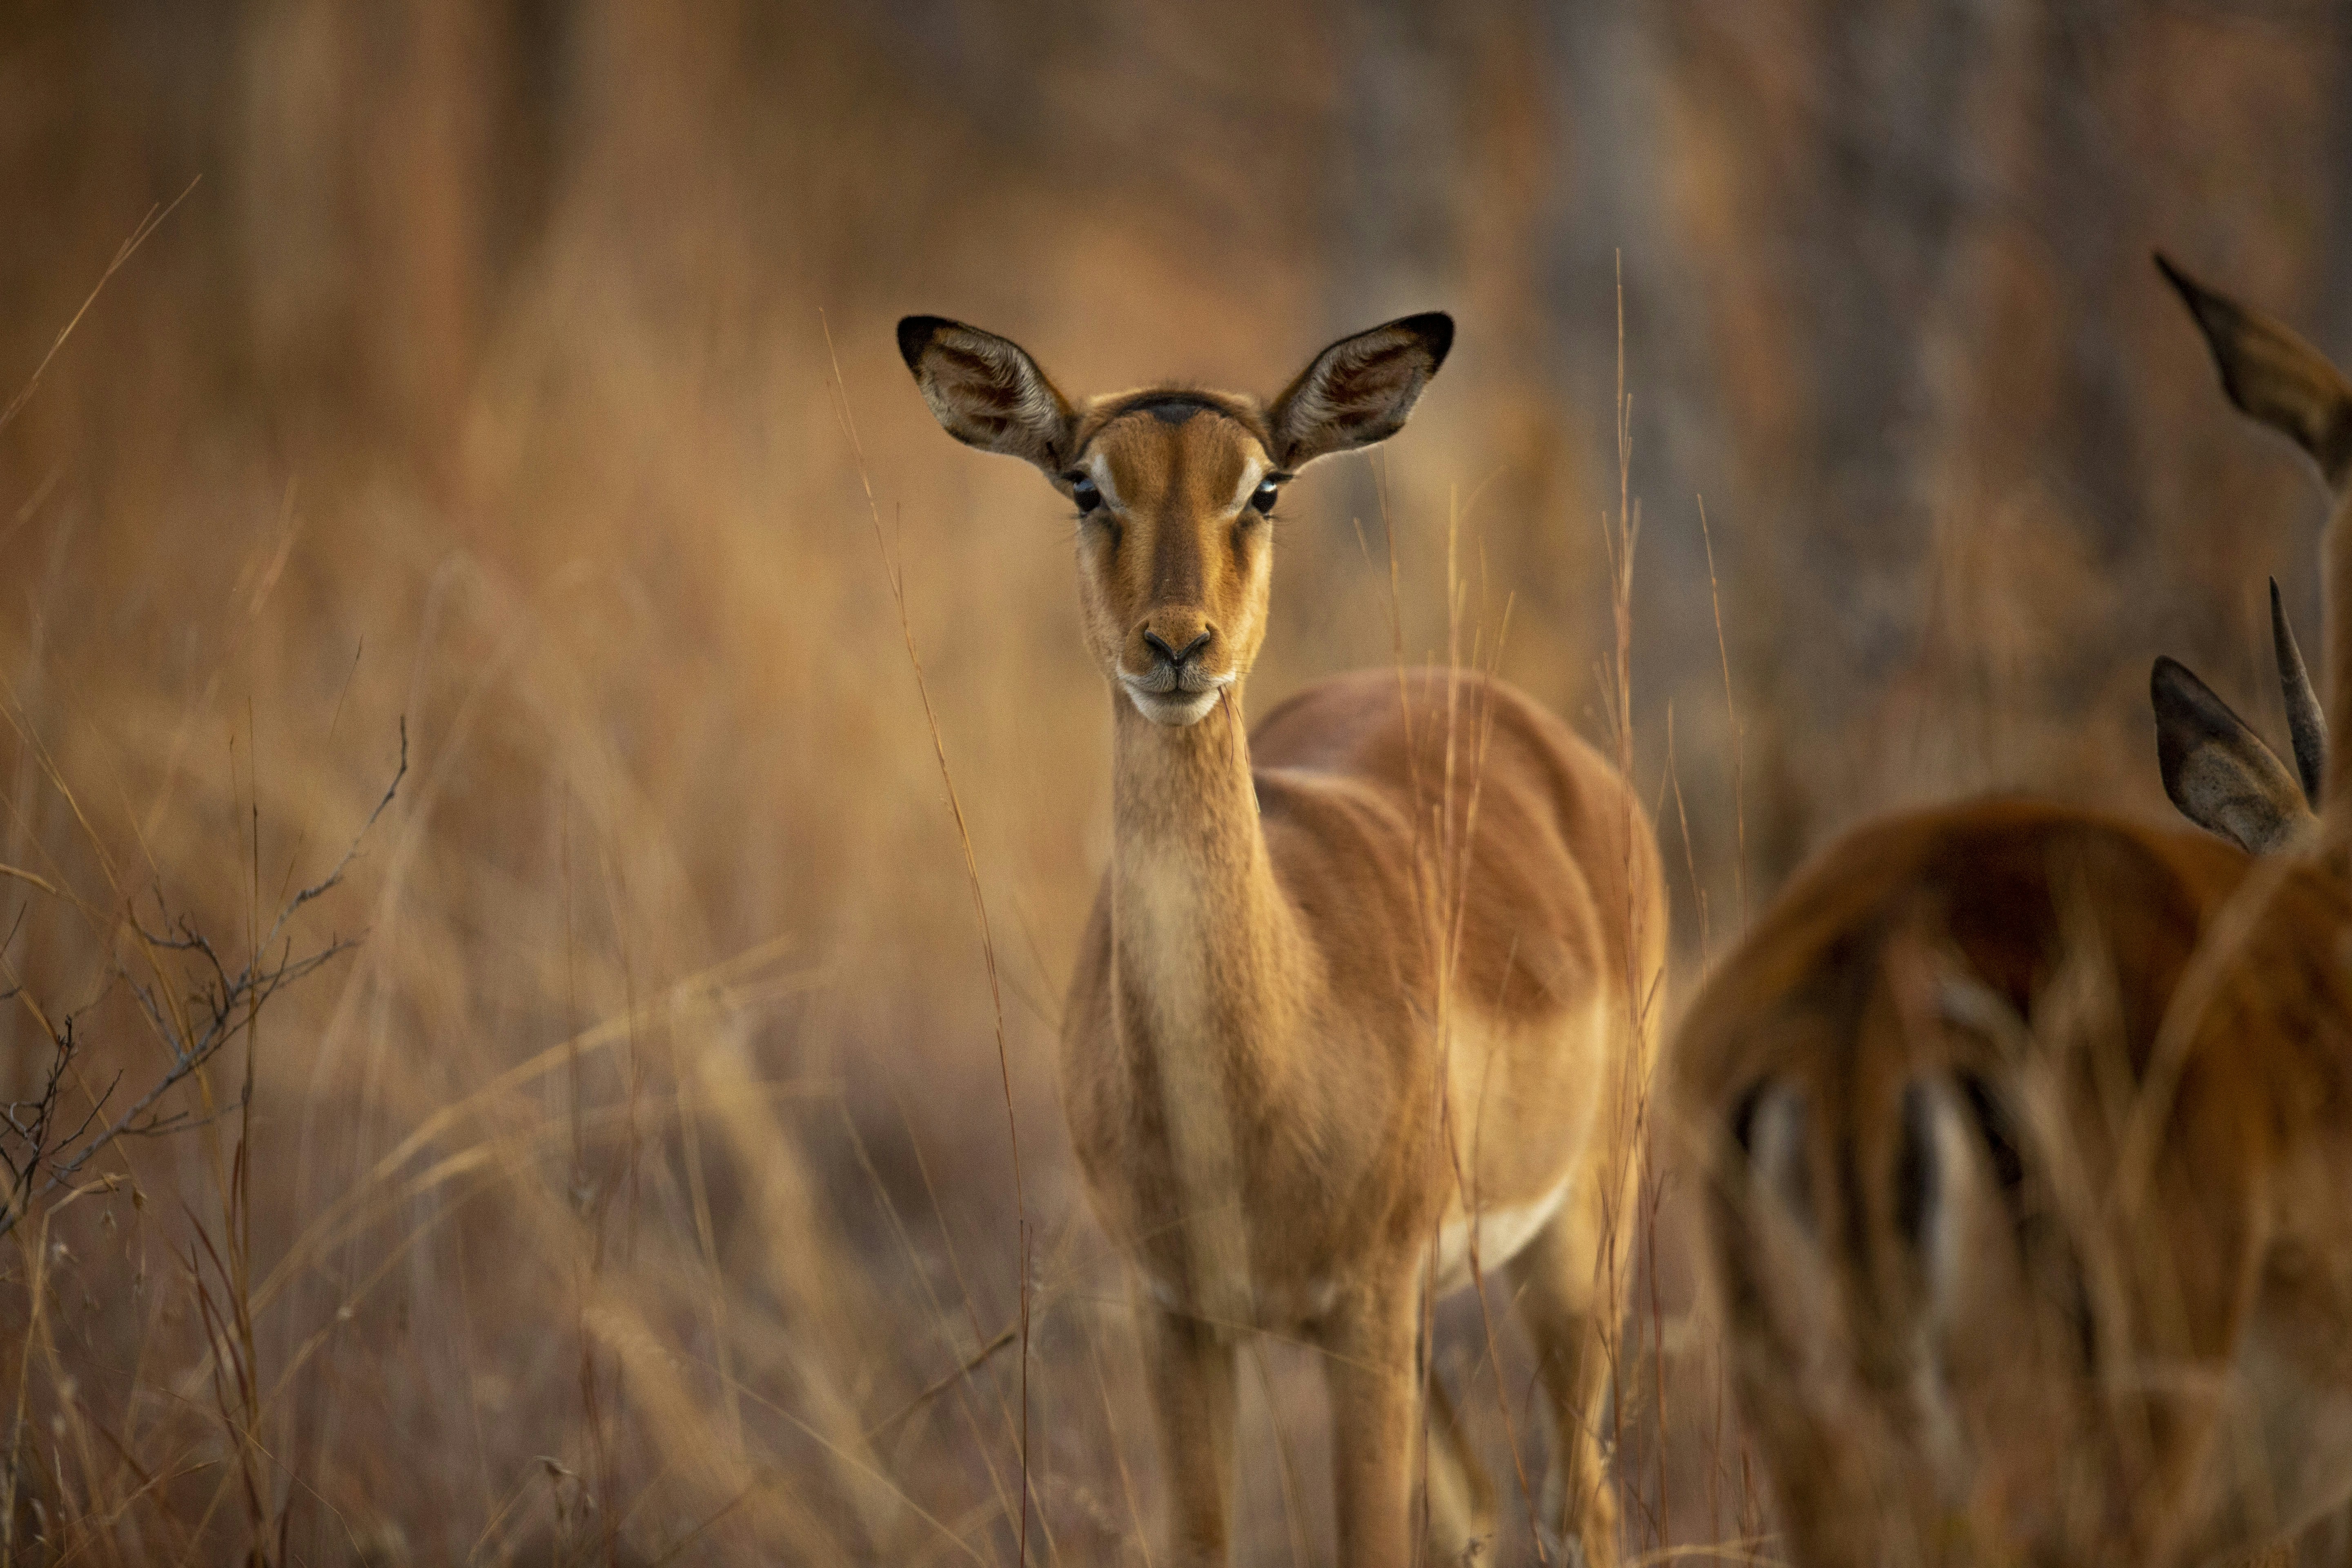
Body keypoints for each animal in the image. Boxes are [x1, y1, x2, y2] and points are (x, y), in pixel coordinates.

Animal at [896, 310, 1667, 1568]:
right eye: (1084, 484)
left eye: (1262, 486)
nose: (1177, 645)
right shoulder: (1178, 1315)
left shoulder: (1364, 1306)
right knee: (1476, 1500)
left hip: (1571, 1238)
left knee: (1577, 1502)